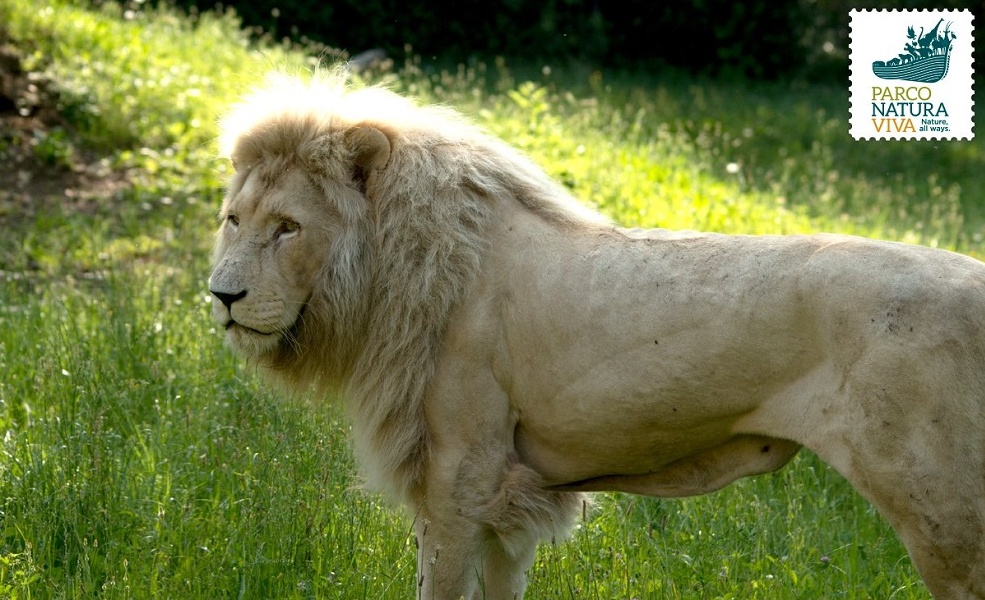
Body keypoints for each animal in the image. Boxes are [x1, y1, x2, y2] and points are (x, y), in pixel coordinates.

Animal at [209, 72, 985, 599]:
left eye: (288, 228)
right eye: (233, 220)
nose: (222, 297)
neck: (393, 271)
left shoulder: (459, 480)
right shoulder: (510, 493)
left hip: (943, 514)